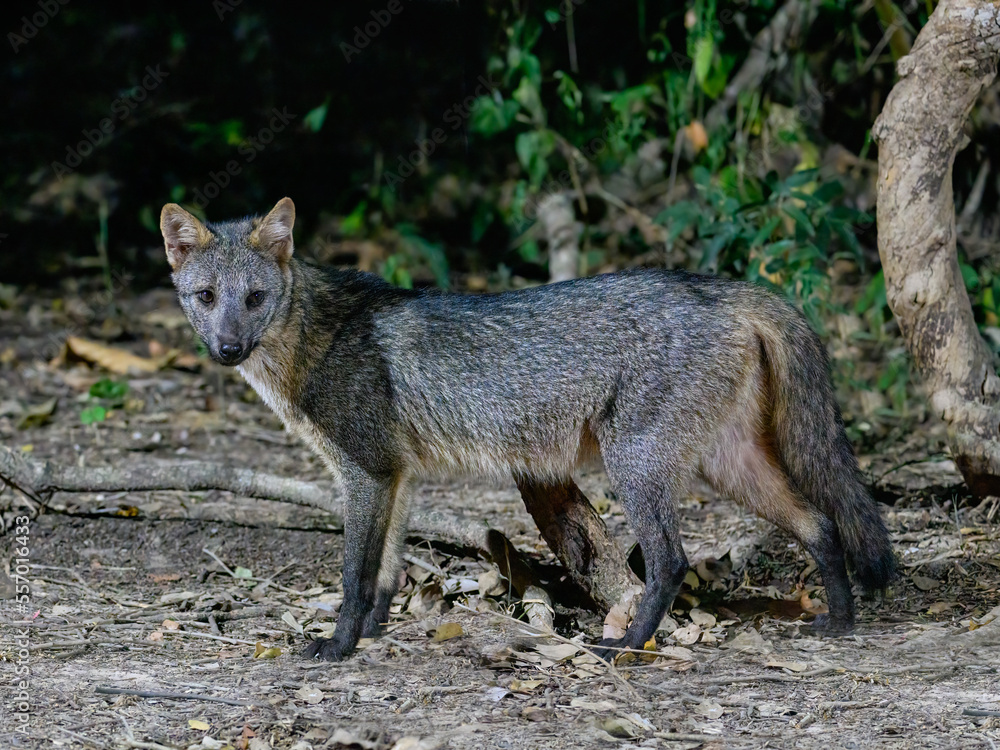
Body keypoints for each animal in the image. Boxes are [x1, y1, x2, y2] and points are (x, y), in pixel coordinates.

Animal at [160, 197, 895, 661]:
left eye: (255, 299)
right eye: (206, 298)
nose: (227, 349)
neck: (318, 338)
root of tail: (723, 287)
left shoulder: (364, 474)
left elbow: (353, 576)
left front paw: (338, 647)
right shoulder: (399, 477)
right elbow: (388, 574)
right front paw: (370, 635)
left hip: (640, 468)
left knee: (670, 560)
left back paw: (628, 646)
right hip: (729, 464)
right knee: (820, 523)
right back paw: (839, 622)